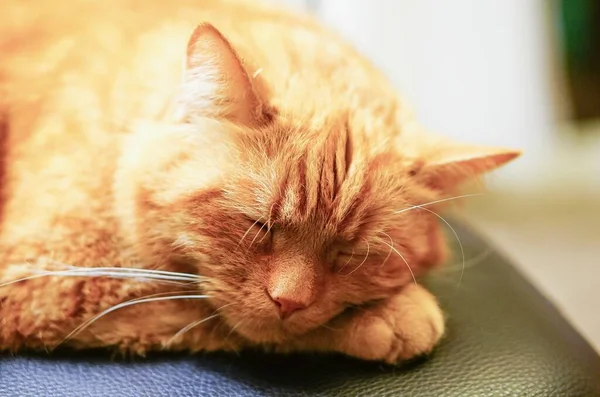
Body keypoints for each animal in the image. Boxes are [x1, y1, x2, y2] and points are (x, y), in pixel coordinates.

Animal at [0, 0, 516, 362]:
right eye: (257, 225)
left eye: (352, 254)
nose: (289, 301)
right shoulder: (42, 276)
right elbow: (194, 309)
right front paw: (395, 317)